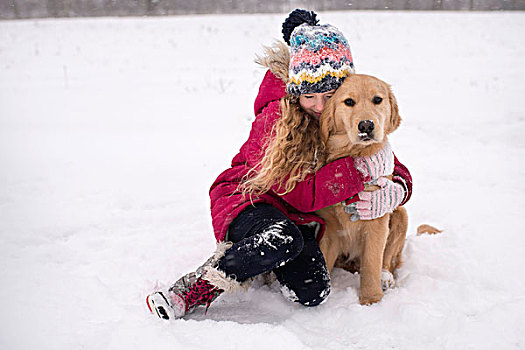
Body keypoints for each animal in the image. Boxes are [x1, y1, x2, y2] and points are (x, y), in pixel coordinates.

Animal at [314, 73, 408, 304]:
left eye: (377, 100)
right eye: (349, 102)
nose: (366, 125)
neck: (354, 154)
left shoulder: (376, 224)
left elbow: (372, 263)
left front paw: (371, 299)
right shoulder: (330, 229)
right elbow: (324, 262)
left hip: (401, 214)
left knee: (387, 261)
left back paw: (386, 278)